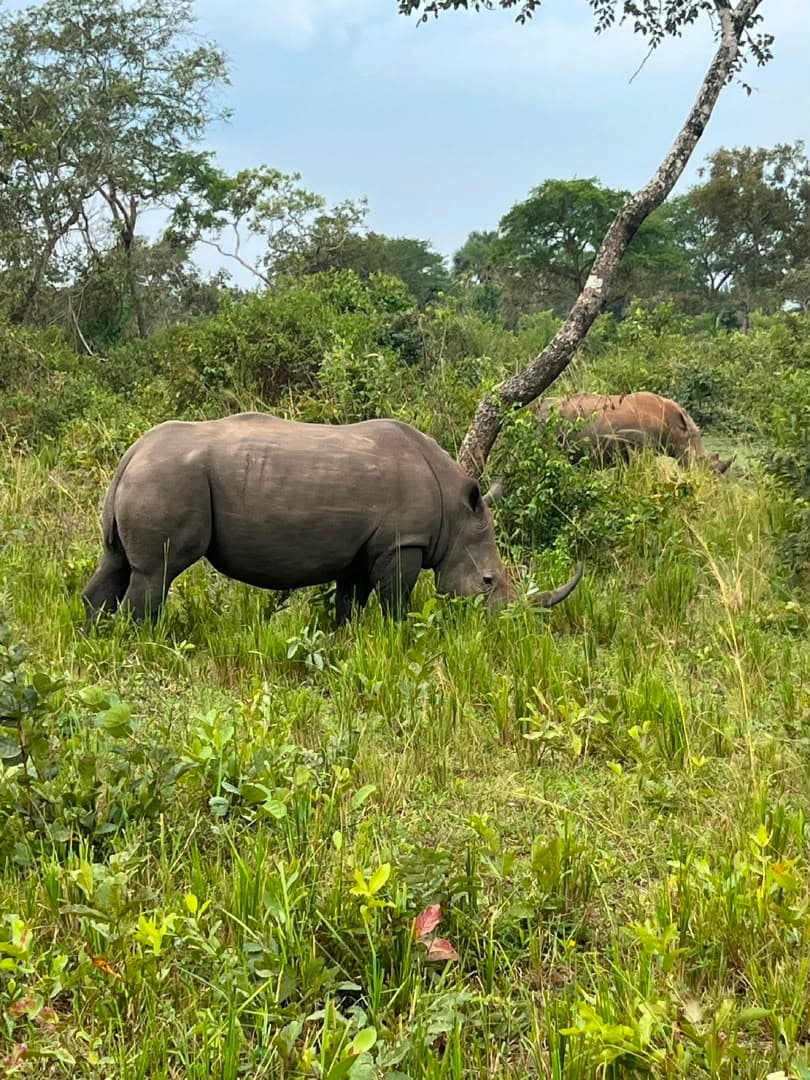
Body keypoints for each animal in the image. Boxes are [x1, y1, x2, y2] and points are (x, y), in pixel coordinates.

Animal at [82, 412, 583, 626]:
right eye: (486, 582)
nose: (510, 626)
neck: (455, 512)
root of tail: (131, 454)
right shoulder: (403, 542)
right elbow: (395, 601)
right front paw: (400, 638)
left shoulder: (361, 547)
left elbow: (350, 602)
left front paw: (347, 641)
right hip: (168, 478)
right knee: (156, 572)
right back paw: (146, 642)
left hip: (149, 478)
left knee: (116, 563)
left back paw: (97, 637)